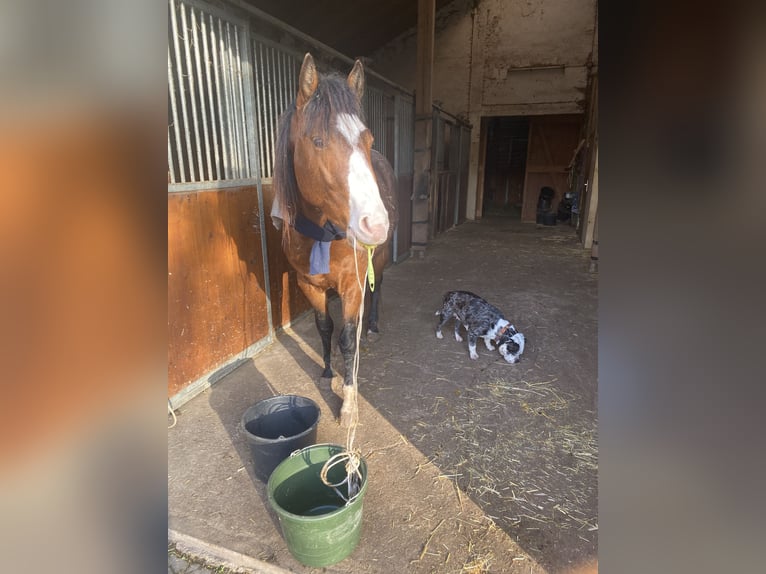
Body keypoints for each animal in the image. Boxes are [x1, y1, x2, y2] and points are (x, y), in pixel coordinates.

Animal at [271, 53, 398, 427]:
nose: (376, 223)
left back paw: (372, 326)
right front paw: (328, 371)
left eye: (368, 141)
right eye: (317, 141)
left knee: (378, 288)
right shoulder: (308, 283)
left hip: (377, 262)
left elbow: (347, 338)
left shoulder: (353, 284)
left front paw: (349, 404)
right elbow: (325, 327)